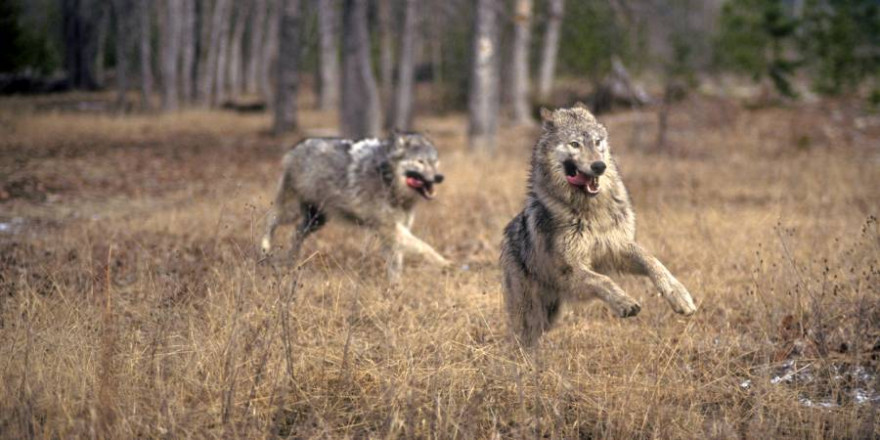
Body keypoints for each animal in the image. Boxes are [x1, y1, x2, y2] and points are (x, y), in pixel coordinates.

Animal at [262, 131, 450, 282]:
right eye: (420, 162)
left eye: (435, 162)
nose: (439, 177)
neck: (386, 178)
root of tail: (297, 146)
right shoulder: (389, 228)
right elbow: (423, 247)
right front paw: (445, 263)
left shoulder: (395, 231)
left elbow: (396, 262)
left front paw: (395, 287)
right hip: (291, 212)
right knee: (269, 220)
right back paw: (264, 250)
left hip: (316, 221)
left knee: (295, 234)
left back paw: (292, 261)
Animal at [502, 105, 696, 346]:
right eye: (575, 144)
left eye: (597, 142)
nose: (599, 166)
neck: (590, 211)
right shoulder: (570, 269)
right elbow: (602, 280)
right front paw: (624, 302)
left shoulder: (617, 248)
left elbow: (654, 262)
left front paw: (680, 297)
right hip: (533, 312)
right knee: (522, 337)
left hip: (549, 313)